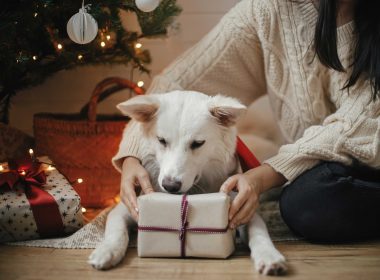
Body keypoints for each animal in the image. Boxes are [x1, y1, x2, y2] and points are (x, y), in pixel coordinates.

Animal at [87, 91, 286, 274]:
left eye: (197, 143)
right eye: (162, 141)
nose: (170, 186)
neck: (191, 193)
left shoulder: (244, 209)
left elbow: (259, 233)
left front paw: (269, 255)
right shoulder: (127, 207)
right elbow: (116, 230)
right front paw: (107, 251)